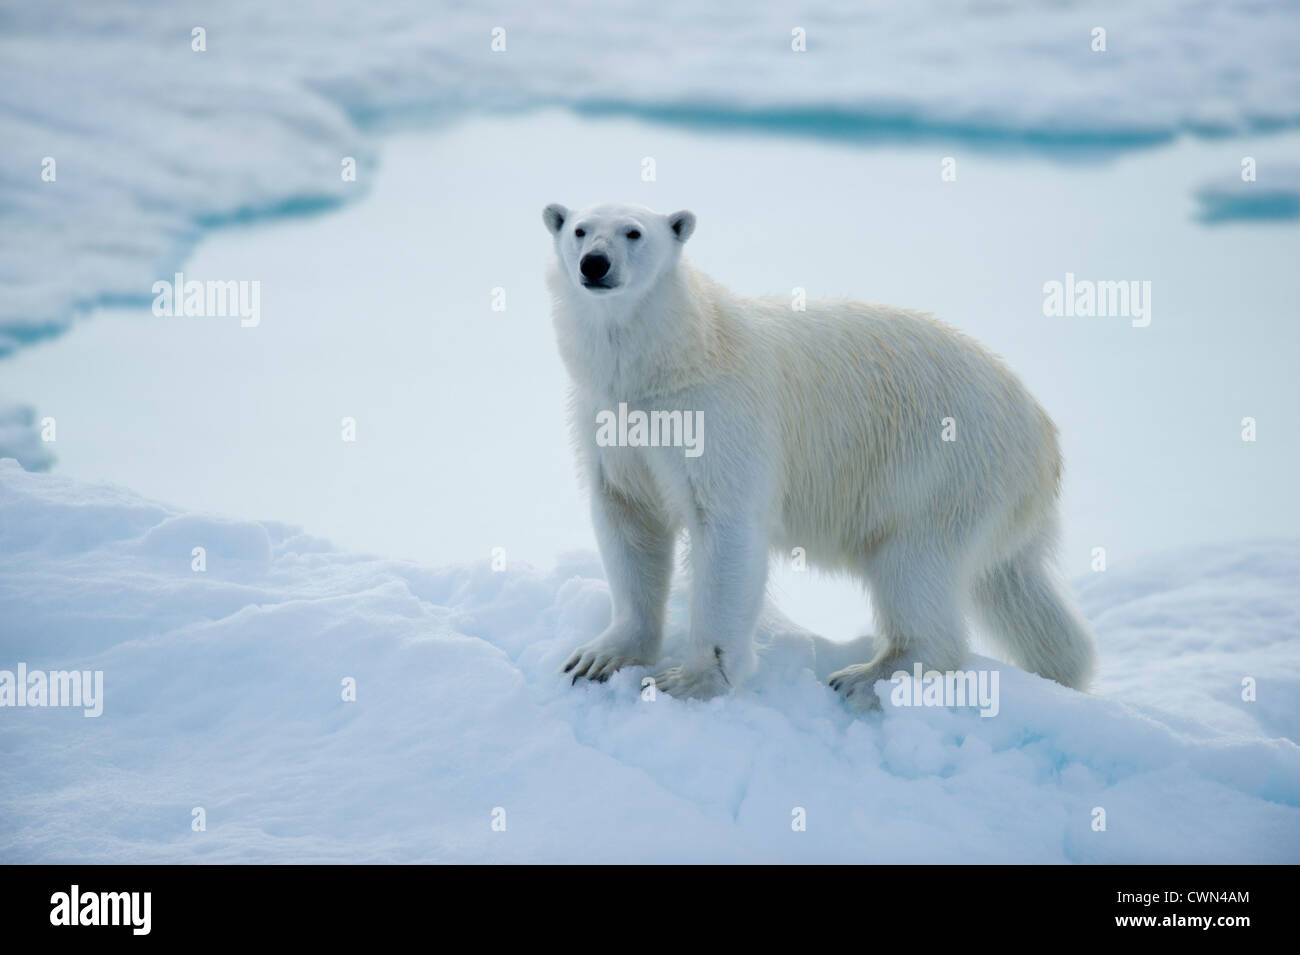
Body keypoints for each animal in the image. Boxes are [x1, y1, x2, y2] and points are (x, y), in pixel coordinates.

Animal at [543, 203, 1092, 712]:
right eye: (580, 230)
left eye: (634, 232)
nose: (595, 263)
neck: (672, 359)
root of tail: (1044, 436)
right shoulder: (607, 419)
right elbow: (629, 521)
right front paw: (597, 658)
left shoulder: (717, 418)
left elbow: (725, 528)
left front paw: (691, 681)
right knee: (1016, 588)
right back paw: (1064, 667)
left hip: (941, 469)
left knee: (915, 564)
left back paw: (868, 675)